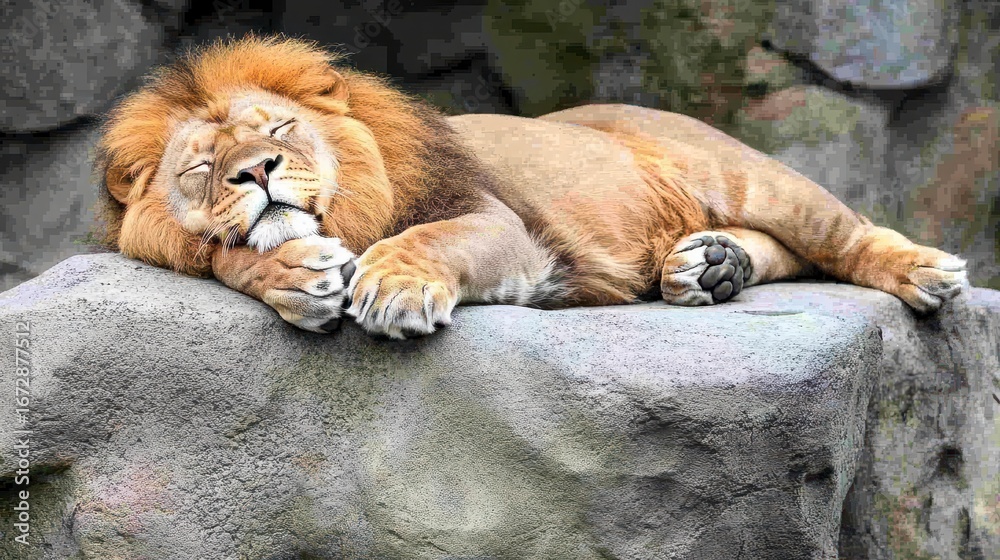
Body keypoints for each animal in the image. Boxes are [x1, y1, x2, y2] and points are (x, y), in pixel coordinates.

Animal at [95, 36, 967, 339]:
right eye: (204, 168)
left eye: (277, 130)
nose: (258, 172)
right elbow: (228, 257)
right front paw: (289, 273)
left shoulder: (502, 228)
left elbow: (431, 237)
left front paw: (395, 286)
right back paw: (711, 266)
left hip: (750, 173)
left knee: (842, 237)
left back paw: (925, 272)